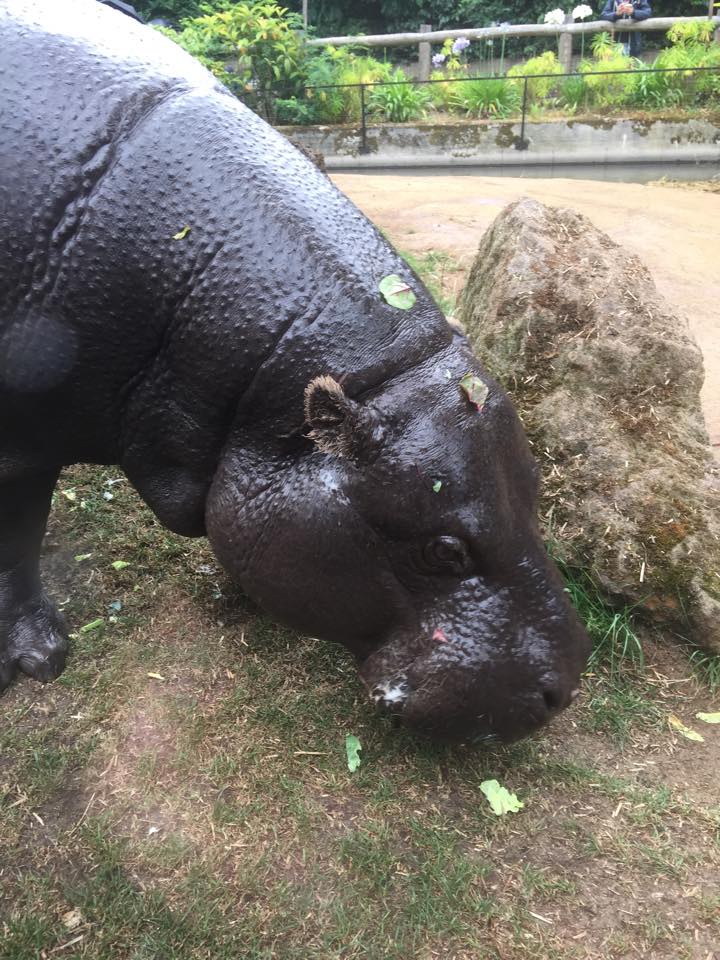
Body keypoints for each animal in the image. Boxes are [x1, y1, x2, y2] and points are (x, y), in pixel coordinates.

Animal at [0, 0, 590, 741]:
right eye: (443, 550)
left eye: (535, 488)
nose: (565, 686)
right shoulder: (19, 444)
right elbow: (17, 535)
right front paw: (39, 660)